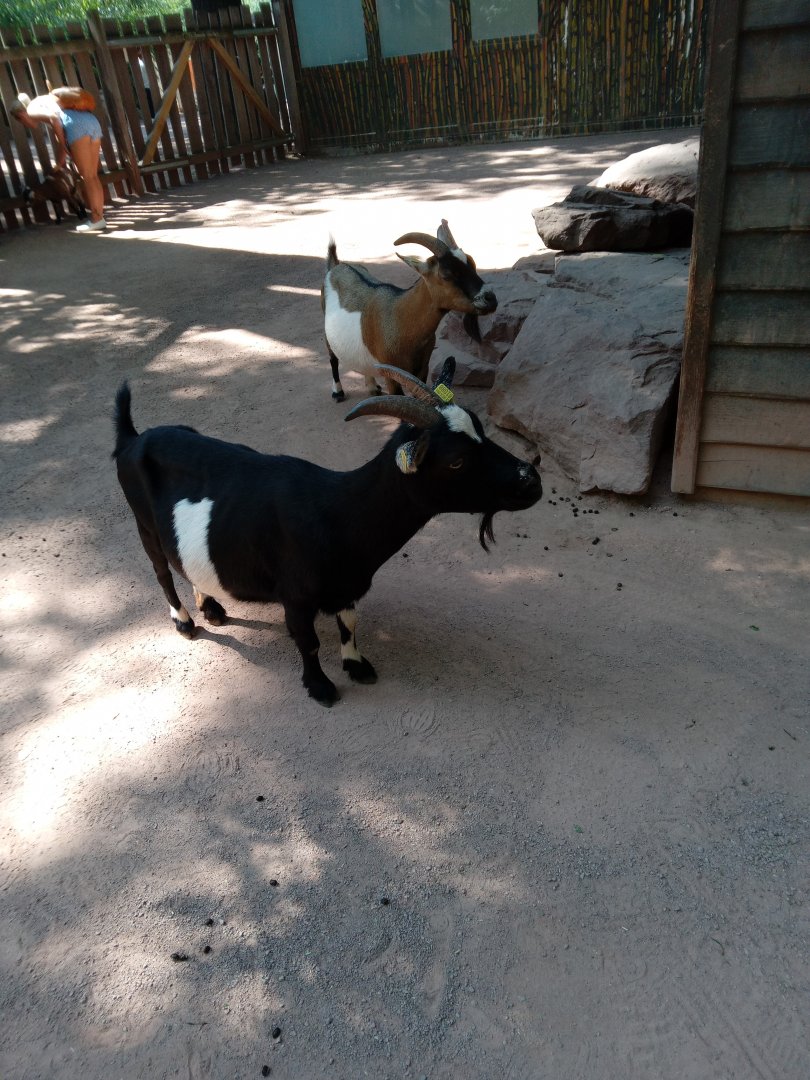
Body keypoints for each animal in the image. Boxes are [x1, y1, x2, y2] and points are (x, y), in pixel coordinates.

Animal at [113, 360, 541, 706]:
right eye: (456, 461)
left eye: (481, 430)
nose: (531, 480)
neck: (338, 515)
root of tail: (132, 439)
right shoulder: (296, 596)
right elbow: (308, 641)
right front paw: (320, 687)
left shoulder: (349, 584)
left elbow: (349, 623)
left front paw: (356, 665)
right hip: (144, 525)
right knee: (162, 571)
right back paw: (186, 622)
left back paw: (212, 607)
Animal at [322, 219, 497, 402]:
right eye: (446, 275)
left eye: (473, 263)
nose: (490, 299)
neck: (401, 319)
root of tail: (335, 266)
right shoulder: (391, 374)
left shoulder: (423, 368)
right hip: (327, 331)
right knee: (332, 358)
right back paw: (338, 392)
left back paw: (372, 387)